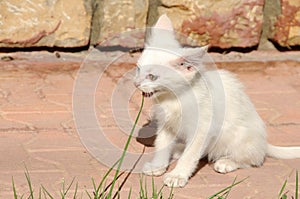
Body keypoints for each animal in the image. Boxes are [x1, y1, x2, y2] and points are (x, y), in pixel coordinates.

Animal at [134, 14, 300, 187]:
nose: (136, 83)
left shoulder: (202, 129)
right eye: (138, 69)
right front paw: (157, 166)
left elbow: (190, 154)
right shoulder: (166, 125)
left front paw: (177, 175)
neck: (173, 98)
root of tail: (263, 143)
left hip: (240, 136)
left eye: (152, 76)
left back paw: (227, 162)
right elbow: (162, 145)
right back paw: (178, 149)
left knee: (252, 159)